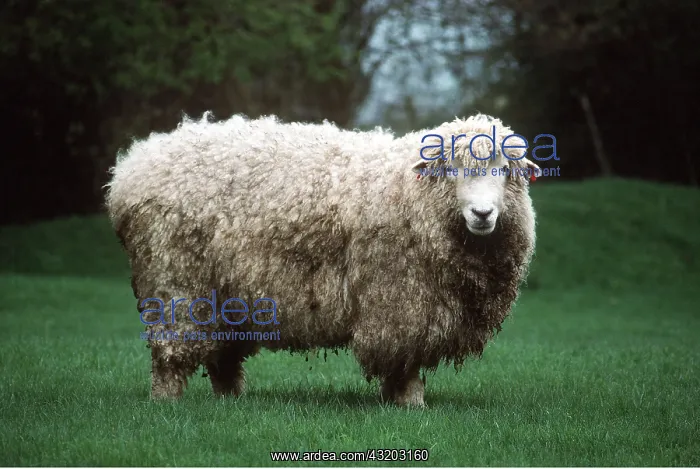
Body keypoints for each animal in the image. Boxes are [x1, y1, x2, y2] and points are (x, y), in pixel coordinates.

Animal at [105, 112, 539, 407]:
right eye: (451, 169)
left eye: (505, 170)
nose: (482, 214)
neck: (410, 193)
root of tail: (128, 170)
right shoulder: (399, 300)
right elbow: (404, 357)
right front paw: (410, 402)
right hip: (174, 277)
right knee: (171, 348)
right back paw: (167, 401)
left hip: (225, 292)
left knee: (224, 355)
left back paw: (231, 399)